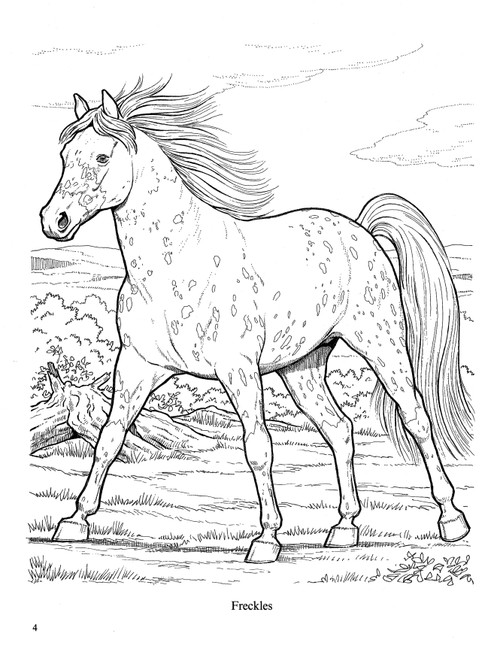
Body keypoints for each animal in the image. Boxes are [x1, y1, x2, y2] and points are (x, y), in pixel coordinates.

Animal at [39, 80, 473, 563]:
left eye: (101, 157)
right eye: (65, 155)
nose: (53, 222)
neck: (176, 263)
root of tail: (361, 231)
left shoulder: (239, 371)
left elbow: (258, 448)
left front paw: (266, 538)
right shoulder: (138, 366)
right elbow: (109, 439)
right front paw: (74, 522)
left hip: (382, 348)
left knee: (416, 418)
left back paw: (451, 520)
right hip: (303, 369)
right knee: (340, 429)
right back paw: (344, 527)